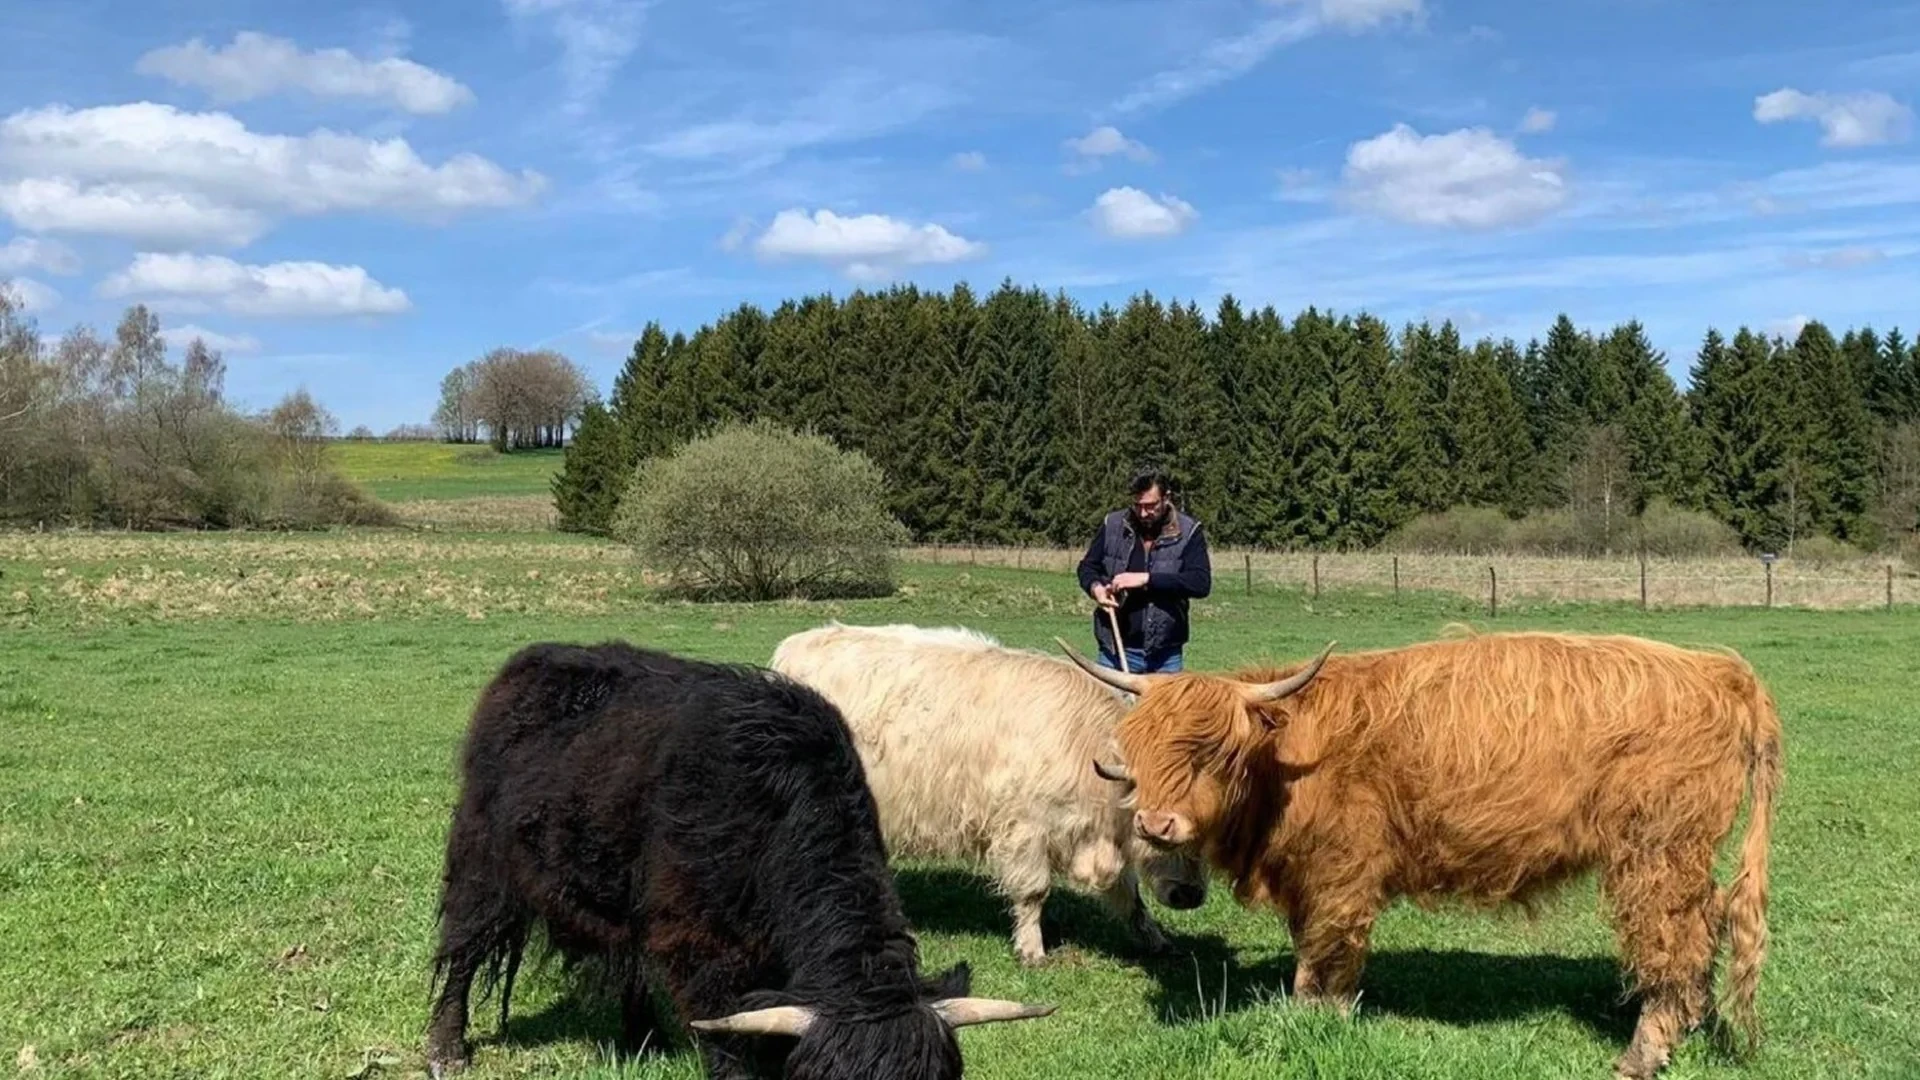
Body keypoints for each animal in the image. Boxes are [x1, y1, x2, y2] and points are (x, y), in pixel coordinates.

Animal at [425, 640, 1055, 1080]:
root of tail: (531, 661)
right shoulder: (703, 949)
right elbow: (725, 1038)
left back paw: (643, 1039)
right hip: (482, 862)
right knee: (464, 948)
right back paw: (447, 1048)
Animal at [768, 622, 1209, 967]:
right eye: (1159, 828)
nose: (1191, 895)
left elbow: (1131, 897)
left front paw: (1157, 940)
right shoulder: (1025, 828)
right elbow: (1034, 891)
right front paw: (1032, 950)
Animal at [1057, 627, 1782, 1080]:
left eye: (1213, 751)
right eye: (1142, 746)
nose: (1157, 822)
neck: (1286, 765)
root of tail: (1721, 672)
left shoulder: (1343, 870)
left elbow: (1329, 949)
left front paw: (1322, 1015)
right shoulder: (1309, 873)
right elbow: (1308, 943)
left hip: (1656, 854)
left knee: (1673, 942)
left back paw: (1644, 1052)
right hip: (1682, 859)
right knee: (1705, 928)